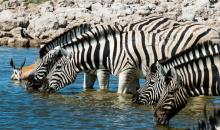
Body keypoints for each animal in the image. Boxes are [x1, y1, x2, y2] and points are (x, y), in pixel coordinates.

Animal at [30, 19, 220, 93]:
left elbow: (107, 91)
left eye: (49, 65)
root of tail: (212, 28)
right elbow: (88, 88)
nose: (33, 86)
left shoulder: (106, 71)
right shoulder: (91, 72)